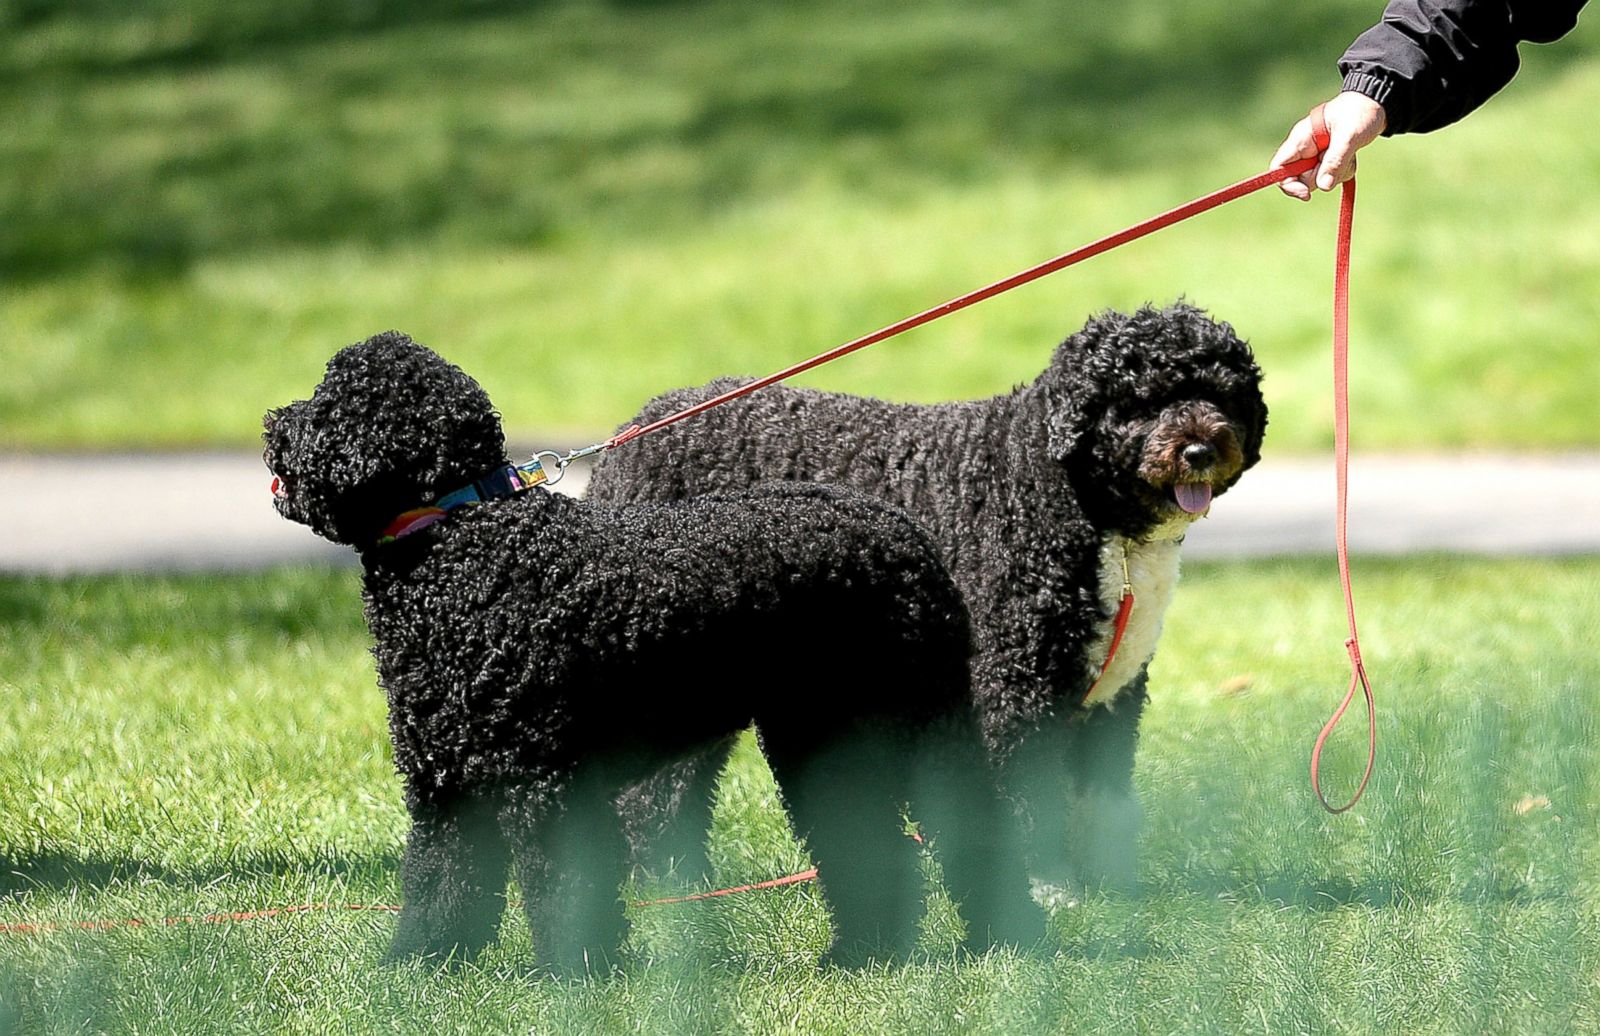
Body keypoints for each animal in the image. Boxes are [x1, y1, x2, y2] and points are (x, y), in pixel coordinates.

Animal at [265, 335, 1036, 978]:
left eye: (328, 402)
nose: (273, 425)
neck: (463, 542)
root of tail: (904, 530)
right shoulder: (446, 788)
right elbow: (438, 884)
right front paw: (418, 968)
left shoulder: (548, 782)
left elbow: (564, 887)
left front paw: (576, 977)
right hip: (822, 740)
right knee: (866, 840)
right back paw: (866, 952)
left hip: (921, 719)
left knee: (975, 822)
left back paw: (1008, 941)